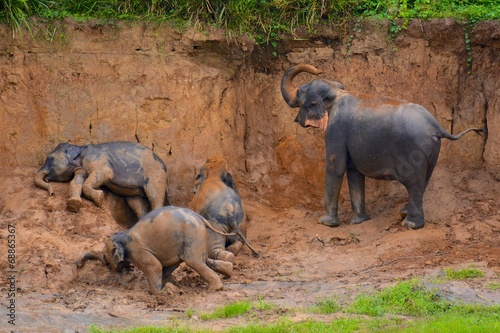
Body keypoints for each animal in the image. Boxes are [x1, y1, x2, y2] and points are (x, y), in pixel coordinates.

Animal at [34, 141, 170, 217]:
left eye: (50, 158)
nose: (52, 193)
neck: (80, 148)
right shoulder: (81, 168)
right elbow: (76, 181)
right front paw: (74, 204)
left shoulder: (97, 159)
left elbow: (104, 174)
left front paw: (99, 198)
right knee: (136, 203)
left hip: (156, 174)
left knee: (154, 195)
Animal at [77, 205, 234, 294]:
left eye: (105, 258)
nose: (79, 265)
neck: (123, 235)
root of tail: (200, 217)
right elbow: (168, 265)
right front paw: (172, 285)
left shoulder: (137, 251)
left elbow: (155, 266)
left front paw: (162, 292)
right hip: (193, 238)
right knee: (203, 259)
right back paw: (228, 271)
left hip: (191, 235)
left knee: (194, 262)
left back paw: (215, 289)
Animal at [280, 63, 482, 228]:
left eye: (300, 95)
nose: (319, 69)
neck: (337, 92)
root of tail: (436, 125)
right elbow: (354, 172)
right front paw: (359, 221)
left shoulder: (336, 129)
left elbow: (335, 167)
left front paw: (326, 223)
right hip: (433, 150)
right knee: (424, 180)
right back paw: (404, 213)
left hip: (415, 150)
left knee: (414, 184)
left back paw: (410, 224)